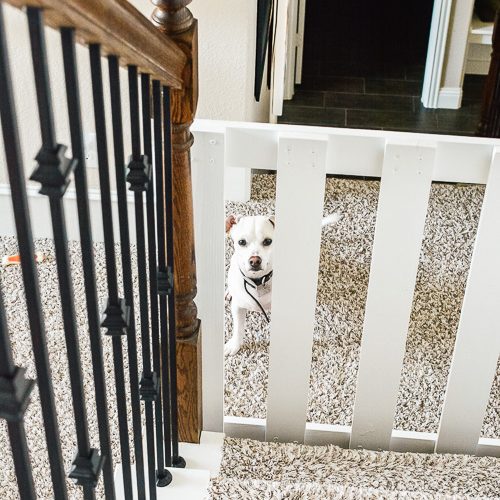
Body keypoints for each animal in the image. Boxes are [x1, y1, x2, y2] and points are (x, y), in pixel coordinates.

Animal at [226, 212, 340, 356]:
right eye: (241, 242)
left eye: (268, 241)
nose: (255, 260)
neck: (258, 282)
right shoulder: (237, 307)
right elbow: (238, 328)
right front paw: (234, 345)